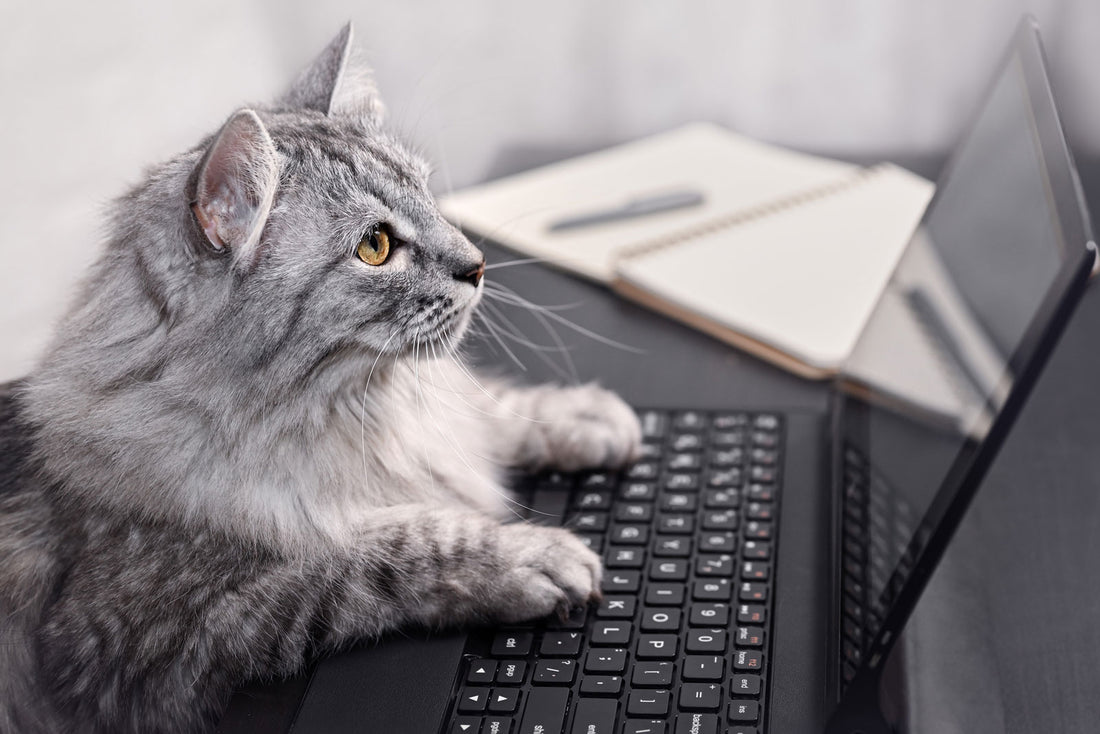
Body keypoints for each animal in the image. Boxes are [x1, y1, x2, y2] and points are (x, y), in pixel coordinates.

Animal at [0, 24, 642, 734]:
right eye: (376, 247)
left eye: (428, 194)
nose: (477, 265)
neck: (357, 411)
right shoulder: (160, 632)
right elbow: (386, 548)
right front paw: (535, 557)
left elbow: (493, 412)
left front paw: (588, 418)